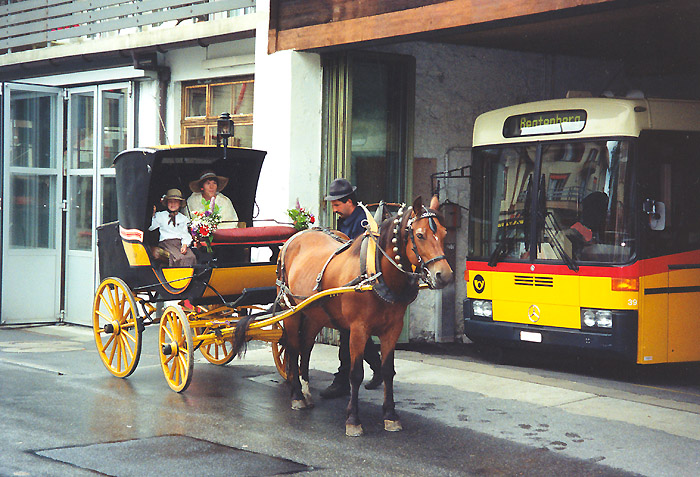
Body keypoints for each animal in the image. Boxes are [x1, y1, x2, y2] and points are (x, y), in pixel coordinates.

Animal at [268, 194, 454, 436]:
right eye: (420, 235)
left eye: (444, 233)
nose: (445, 275)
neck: (375, 274)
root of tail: (295, 237)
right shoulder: (358, 329)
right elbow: (355, 373)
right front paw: (353, 419)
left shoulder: (392, 329)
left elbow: (387, 370)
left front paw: (390, 415)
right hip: (291, 310)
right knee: (292, 347)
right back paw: (297, 395)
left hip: (314, 314)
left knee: (305, 347)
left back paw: (306, 390)